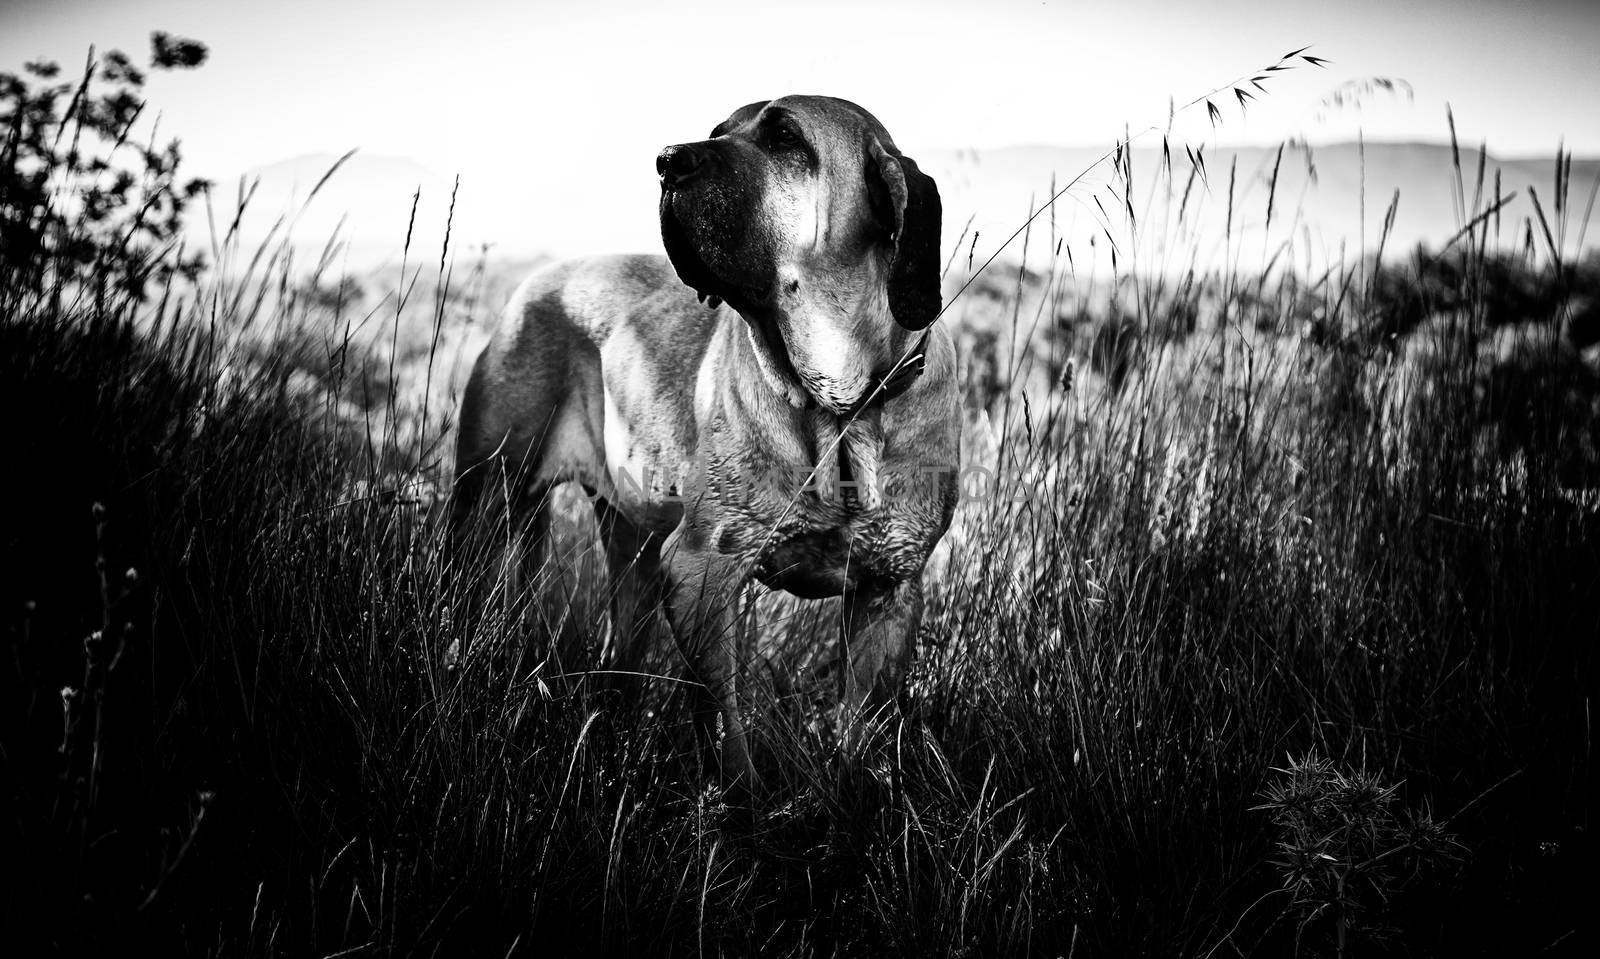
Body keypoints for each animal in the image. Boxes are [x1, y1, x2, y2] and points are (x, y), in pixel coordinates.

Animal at [451, 95, 953, 787]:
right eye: (719, 130)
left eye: (785, 136)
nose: (667, 160)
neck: (839, 405)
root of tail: (537, 278)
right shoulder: (702, 573)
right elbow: (727, 729)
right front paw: (739, 803)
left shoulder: (889, 593)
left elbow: (860, 730)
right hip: (485, 505)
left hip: (630, 551)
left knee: (621, 657)